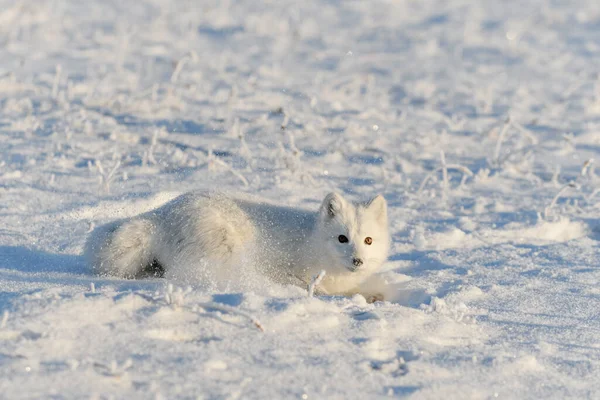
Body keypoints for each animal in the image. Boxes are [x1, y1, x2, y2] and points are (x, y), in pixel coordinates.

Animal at [86, 192, 392, 298]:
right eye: (342, 238)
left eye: (368, 240)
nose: (357, 260)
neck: (311, 240)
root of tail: (161, 215)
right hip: (225, 249)